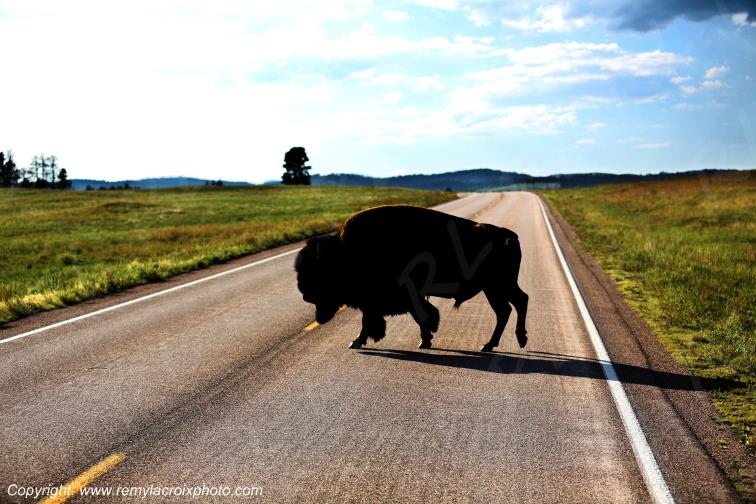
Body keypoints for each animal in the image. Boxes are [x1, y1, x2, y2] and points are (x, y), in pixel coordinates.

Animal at [294, 205, 528, 352]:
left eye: (318, 273)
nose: (305, 295)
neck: (345, 252)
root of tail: (510, 236)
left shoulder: (392, 298)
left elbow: (417, 315)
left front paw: (357, 341)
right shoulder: (384, 300)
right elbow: (411, 316)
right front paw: (425, 340)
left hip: (497, 286)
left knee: (513, 305)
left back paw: (507, 341)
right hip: (496, 287)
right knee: (511, 307)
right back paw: (494, 344)